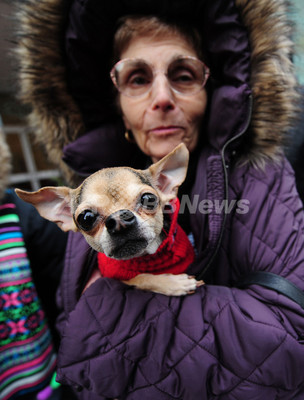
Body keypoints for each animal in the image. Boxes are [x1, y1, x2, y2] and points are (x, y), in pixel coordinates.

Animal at [15, 145, 203, 296]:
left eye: (149, 199)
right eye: (86, 218)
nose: (119, 220)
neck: (143, 259)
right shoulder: (118, 277)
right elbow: (142, 278)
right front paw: (173, 284)